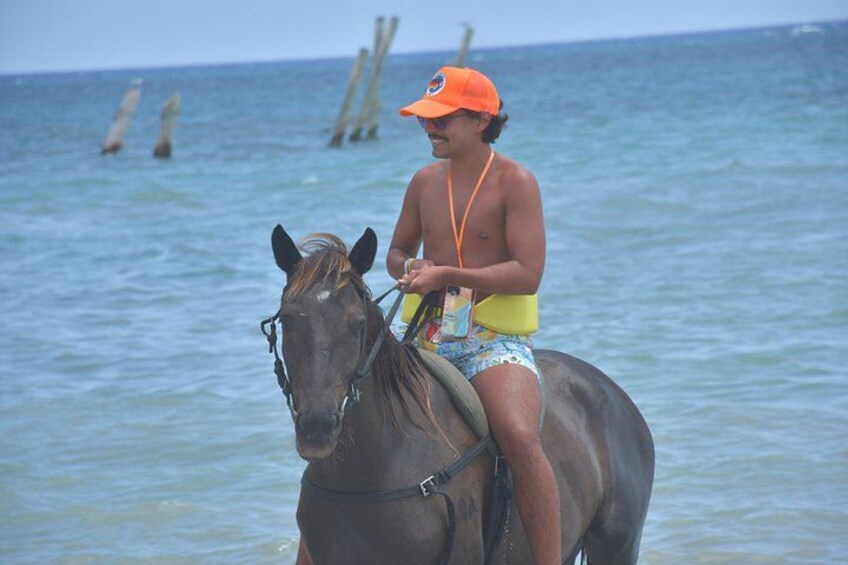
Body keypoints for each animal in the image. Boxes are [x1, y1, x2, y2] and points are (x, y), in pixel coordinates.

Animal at [263, 224, 654, 564]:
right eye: (287, 321)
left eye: (357, 324)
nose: (317, 428)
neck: (371, 472)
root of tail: (612, 391)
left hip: (617, 545)